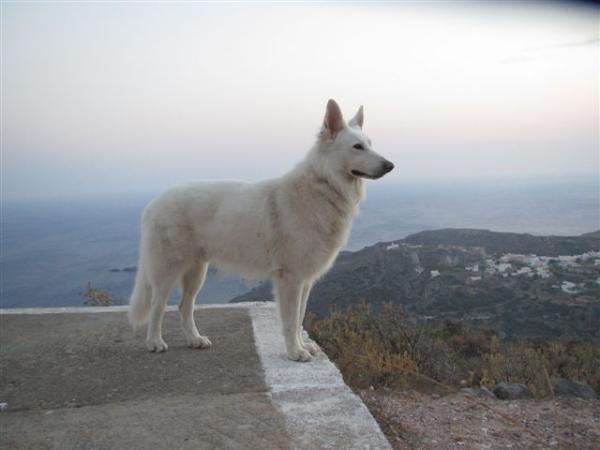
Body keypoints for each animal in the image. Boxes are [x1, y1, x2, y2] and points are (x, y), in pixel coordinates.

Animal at [127, 99, 394, 362]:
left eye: (370, 144)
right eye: (357, 147)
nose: (390, 165)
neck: (324, 184)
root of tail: (153, 203)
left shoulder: (305, 281)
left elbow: (299, 317)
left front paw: (303, 346)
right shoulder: (290, 279)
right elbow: (290, 322)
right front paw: (295, 352)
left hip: (196, 273)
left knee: (184, 306)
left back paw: (194, 339)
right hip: (167, 271)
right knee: (157, 306)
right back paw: (155, 342)